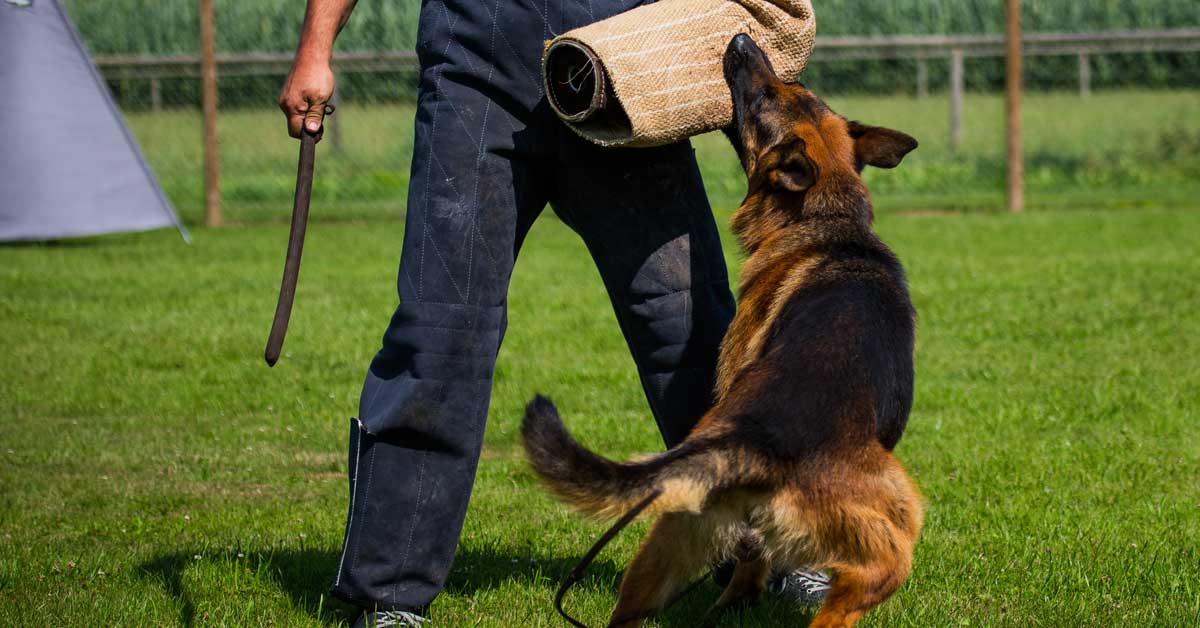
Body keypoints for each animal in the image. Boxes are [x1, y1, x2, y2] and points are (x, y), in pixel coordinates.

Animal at [520, 35, 921, 628]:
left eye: (770, 95)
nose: (740, 40)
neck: (827, 220)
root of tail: (758, 439)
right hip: (895, 537)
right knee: (842, 601)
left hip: (669, 537)